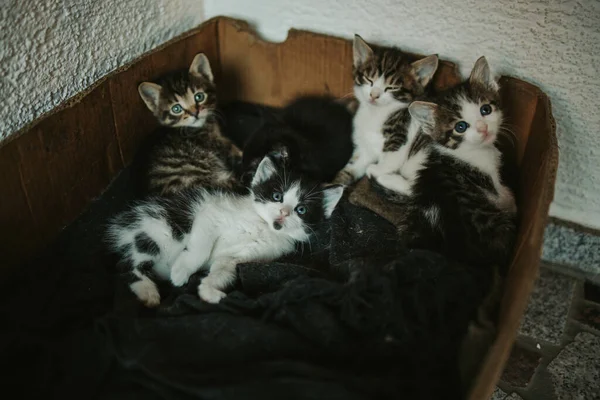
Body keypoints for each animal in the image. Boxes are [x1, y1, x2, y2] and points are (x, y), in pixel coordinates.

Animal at [105, 155, 344, 306]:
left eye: (301, 209)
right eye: (277, 196)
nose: (284, 213)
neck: (262, 227)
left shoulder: (242, 256)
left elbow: (223, 269)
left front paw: (209, 291)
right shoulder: (211, 214)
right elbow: (200, 248)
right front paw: (181, 272)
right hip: (156, 231)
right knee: (124, 266)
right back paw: (149, 292)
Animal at [137, 53, 243, 195]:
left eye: (199, 97)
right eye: (176, 109)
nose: (195, 113)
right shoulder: (213, 143)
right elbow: (229, 147)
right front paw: (239, 152)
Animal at [332, 34, 436, 184]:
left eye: (392, 87)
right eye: (369, 79)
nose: (374, 95)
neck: (375, 113)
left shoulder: (403, 134)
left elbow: (391, 159)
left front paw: (376, 169)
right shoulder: (365, 147)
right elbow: (355, 165)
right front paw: (335, 183)